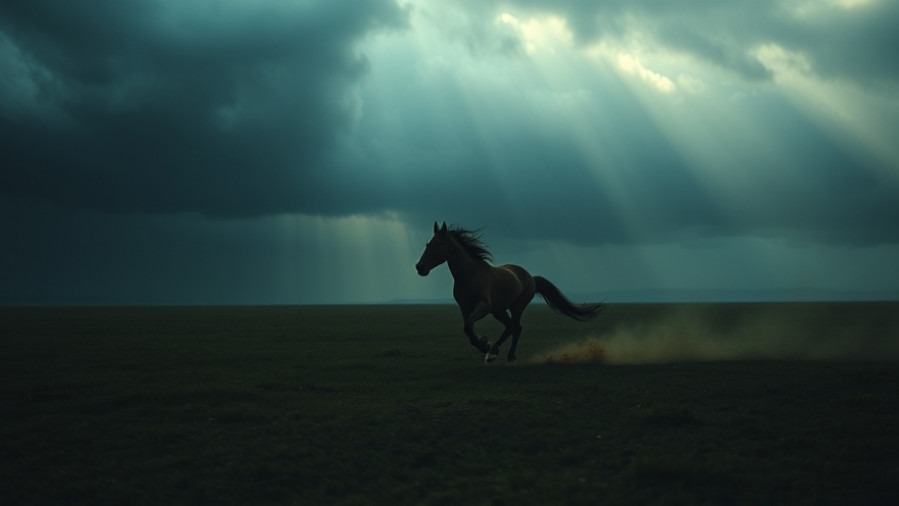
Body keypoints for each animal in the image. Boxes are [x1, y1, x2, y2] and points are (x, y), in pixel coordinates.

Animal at [415, 222, 603, 363]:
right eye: (427, 244)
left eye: (439, 243)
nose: (419, 267)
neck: (470, 275)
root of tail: (531, 277)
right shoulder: (465, 308)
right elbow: (468, 329)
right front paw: (484, 343)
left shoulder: (484, 306)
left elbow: (468, 326)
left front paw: (484, 344)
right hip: (499, 310)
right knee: (509, 327)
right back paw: (493, 352)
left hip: (516, 306)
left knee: (516, 327)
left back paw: (508, 355)